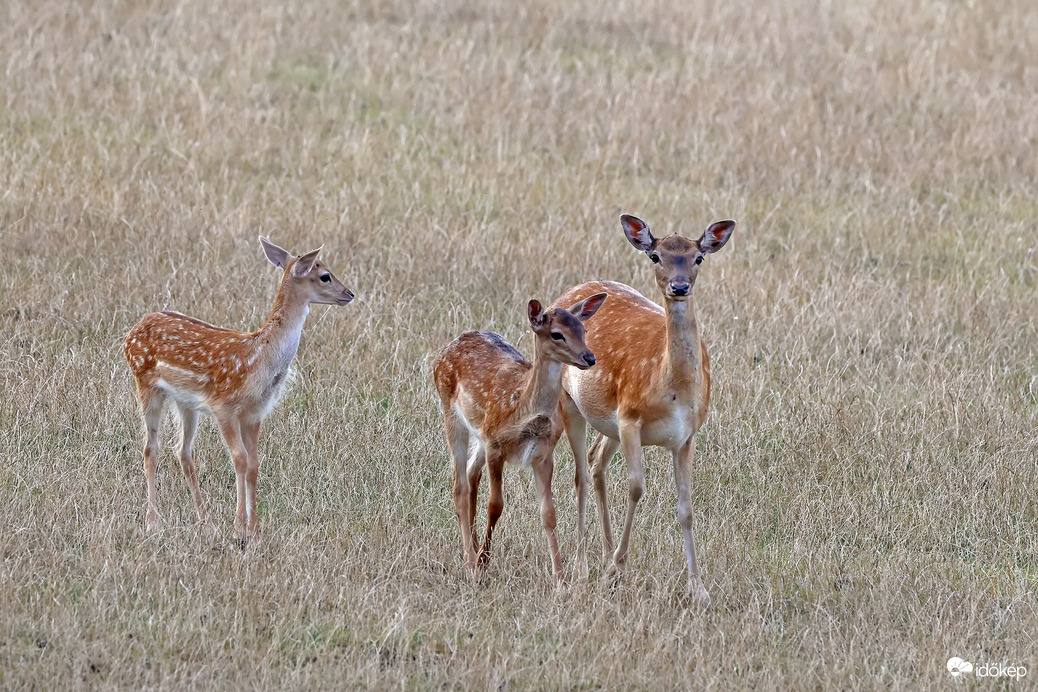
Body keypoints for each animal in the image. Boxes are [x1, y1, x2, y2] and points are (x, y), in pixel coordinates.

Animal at [123, 238, 352, 547]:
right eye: (325, 275)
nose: (349, 294)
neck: (261, 359)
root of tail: (130, 333)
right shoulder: (224, 406)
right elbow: (239, 459)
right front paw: (239, 528)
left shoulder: (255, 413)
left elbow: (254, 463)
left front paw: (254, 530)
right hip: (146, 384)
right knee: (150, 448)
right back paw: (153, 523)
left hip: (186, 403)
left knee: (183, 451)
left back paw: (206, 524)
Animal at [431, 292, 606, 585]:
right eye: (557, 334)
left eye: (583, 330)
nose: (589, 357)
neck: (523, 409)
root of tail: (446, 350)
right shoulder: (495, 445)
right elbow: (496, 505)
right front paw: (483, 563)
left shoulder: (543, 453)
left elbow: (549, 514)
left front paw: (561, 579)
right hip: (451, 414)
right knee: (459, 485)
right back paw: (469, 562)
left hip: (480, 433)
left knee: (470, 474)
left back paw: (473, 547)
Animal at [556, 212, 734, 605]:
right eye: (656, 256)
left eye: (698, 257)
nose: (679, 287)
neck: (672, 390)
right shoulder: (630, 417)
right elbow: (636, 487)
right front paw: (615, 571)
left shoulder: (687, 436)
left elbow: (686, 508)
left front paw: (699, 589)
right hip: (569, 404)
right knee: (580, 474)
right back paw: (584, 569)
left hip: (607, 422)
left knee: (595, 461)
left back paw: (605, 554)